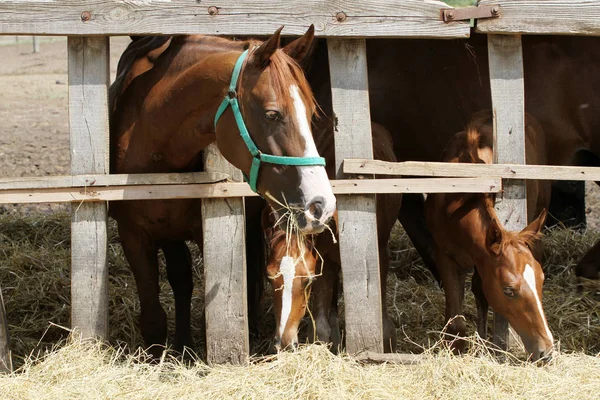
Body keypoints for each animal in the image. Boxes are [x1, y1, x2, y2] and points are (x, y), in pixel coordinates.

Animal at [264, 120, 400, 352]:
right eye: (269, 276)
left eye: (307, 282)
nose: (284, 343)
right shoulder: (323, 260)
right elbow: (321, 326)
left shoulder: (380, 253)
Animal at [426, 111, 552, 362]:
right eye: (508, 290)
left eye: (541, 280)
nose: (546, 351)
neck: (459, 203)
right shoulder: (444, 253)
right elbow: (456, 313)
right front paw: (454, 346)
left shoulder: (483, 259)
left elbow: (481, 294)